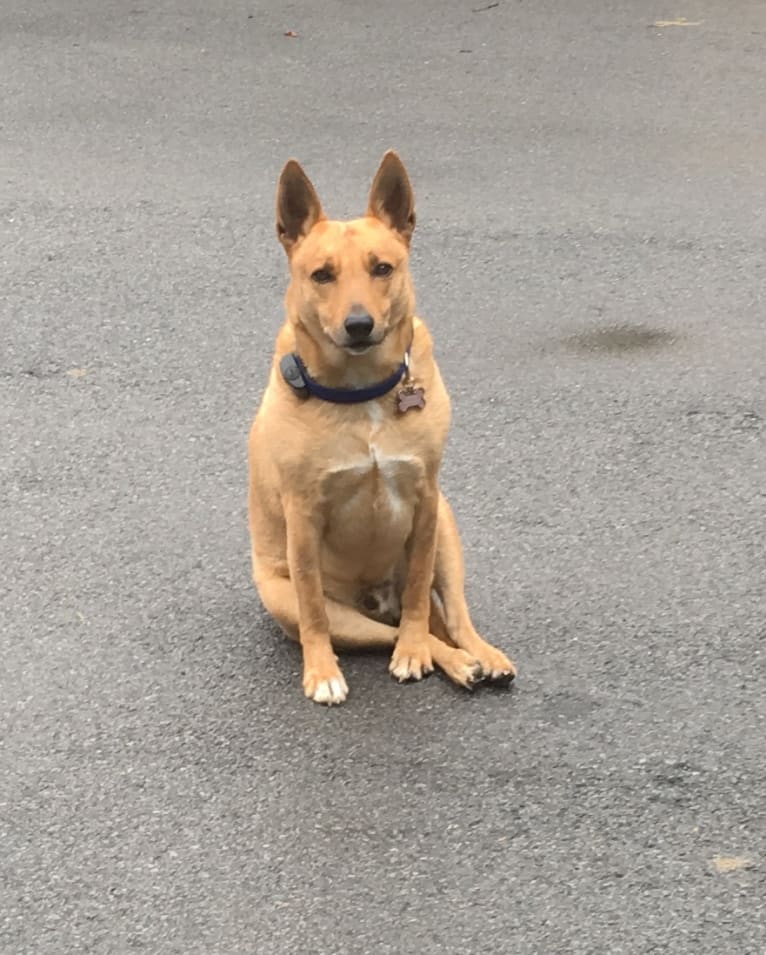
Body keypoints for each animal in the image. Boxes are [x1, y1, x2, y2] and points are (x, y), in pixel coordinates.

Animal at [249, 149, 520, 704]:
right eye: (321, 275)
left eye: (382, 268)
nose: (359, 325)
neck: (361, 395)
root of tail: (377, 600)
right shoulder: (302, 517)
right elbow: (313, 609)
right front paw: (321, 671)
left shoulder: (425, 501)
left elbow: (418, 589)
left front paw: (415, 650)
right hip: (311, 605)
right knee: (376, 630)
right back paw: (453, 661)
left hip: (446, 531)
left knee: (450, 616)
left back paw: (477, 655)